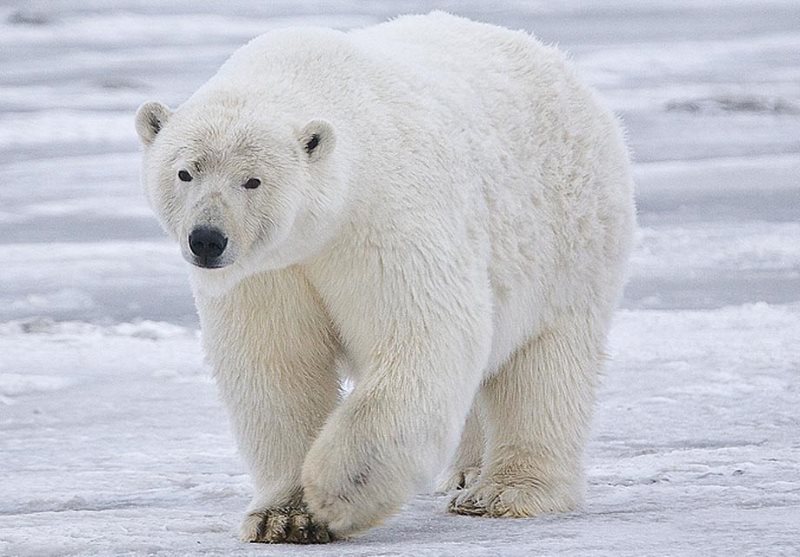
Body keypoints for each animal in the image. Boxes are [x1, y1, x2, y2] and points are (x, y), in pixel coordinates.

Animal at [138, 11, 636, 544]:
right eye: (185, 172)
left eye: (252, 180)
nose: (207, 239)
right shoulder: (268, 271)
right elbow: (276, 365)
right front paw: (284, 517)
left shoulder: (385, 218)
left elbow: (423, 335)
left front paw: (336, 493)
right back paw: (464, 472)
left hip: (568, 239)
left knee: (545, 368)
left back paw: (503, 492)